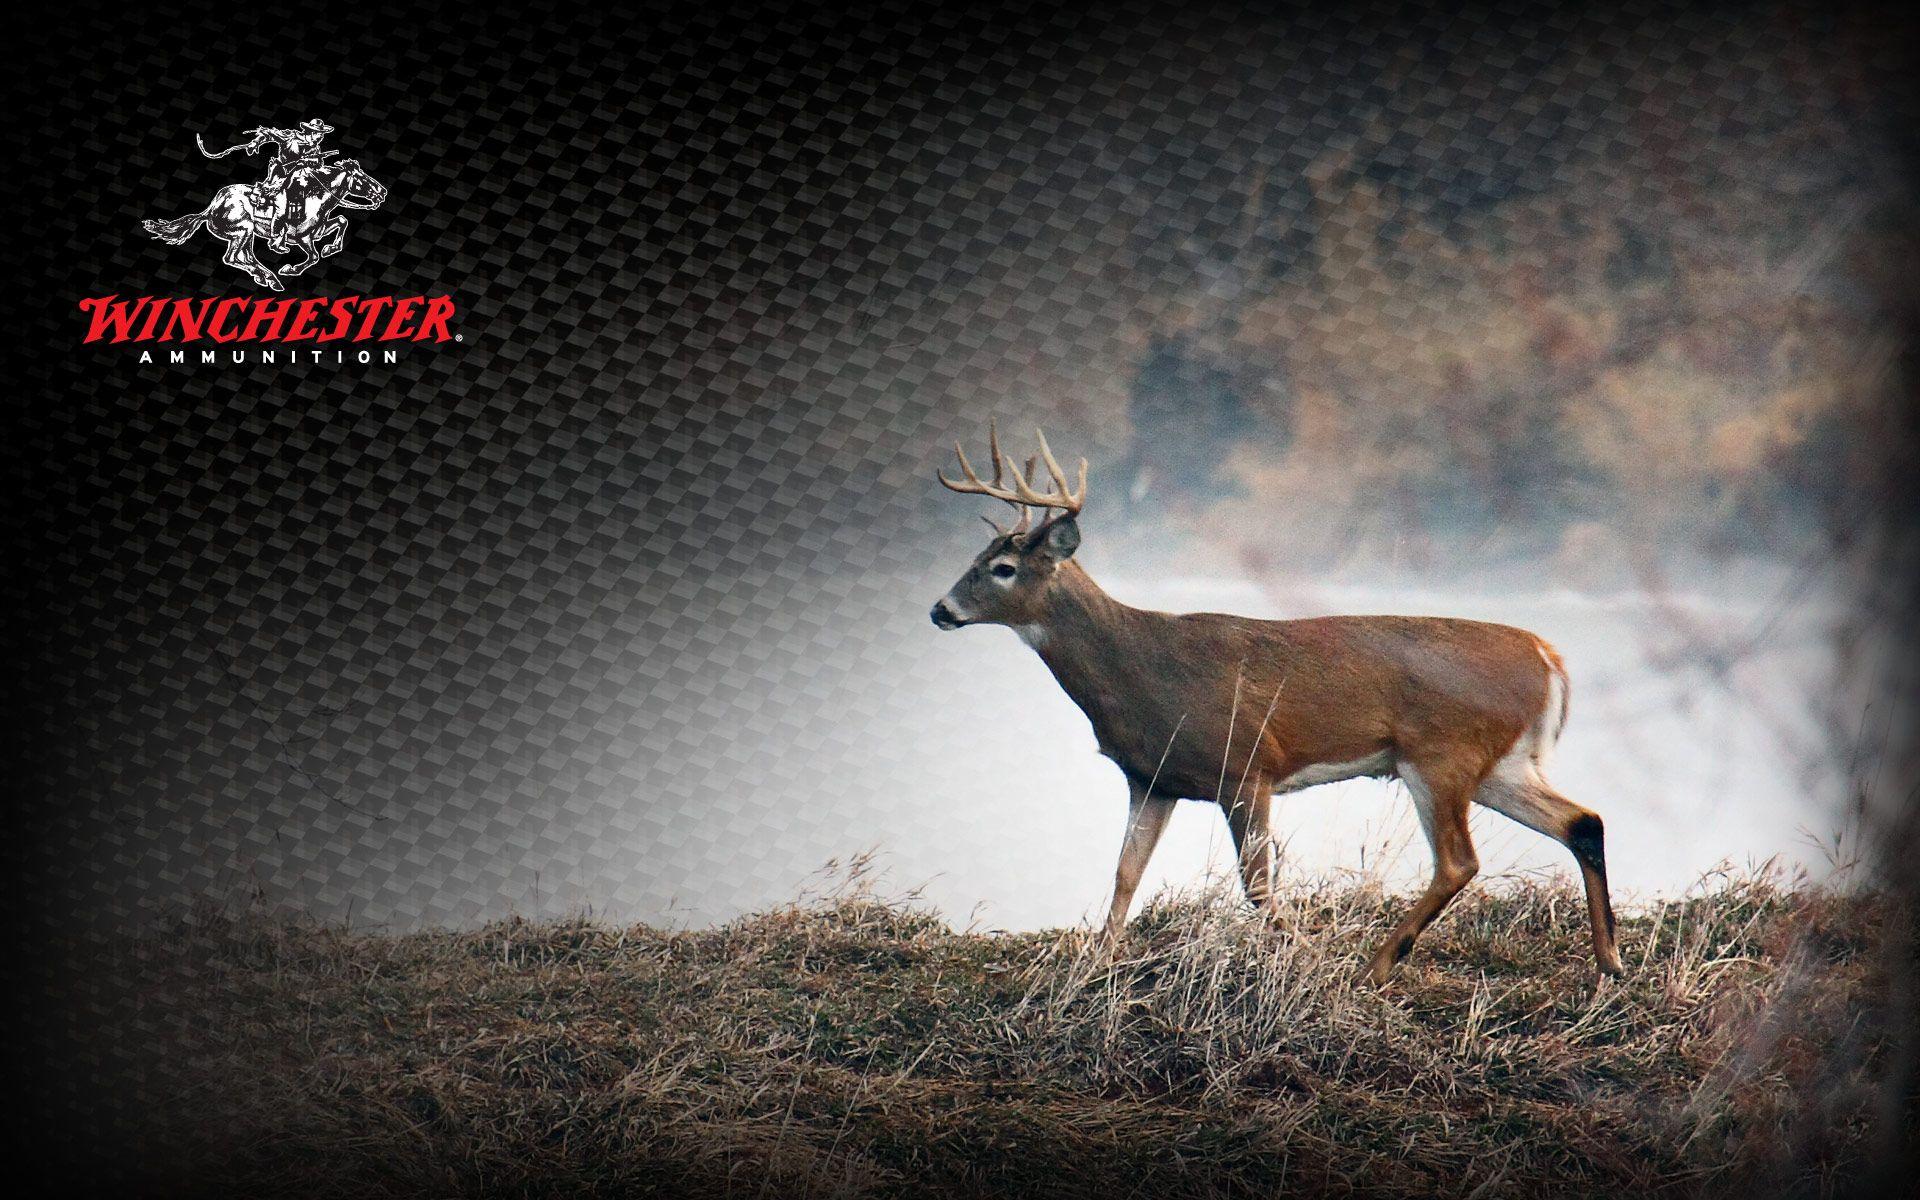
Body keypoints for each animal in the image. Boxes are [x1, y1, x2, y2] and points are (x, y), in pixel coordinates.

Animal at [929, 425, 1624, 983]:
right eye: (977, 557)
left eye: (1004, 568)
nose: (940, 609)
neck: (1140, 672)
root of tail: (1547, 657)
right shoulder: (1151, 777)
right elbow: (1126, 872)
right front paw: (1095, 964)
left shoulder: (1246, 764)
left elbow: (1259, 885)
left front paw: (1306, 955)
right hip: (1499, 764)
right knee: (1582, 821)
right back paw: (1609, 963)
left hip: (1440, 754)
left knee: (1459, 861)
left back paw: (1376, 964)